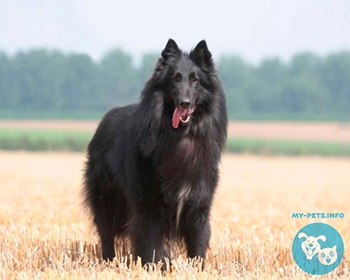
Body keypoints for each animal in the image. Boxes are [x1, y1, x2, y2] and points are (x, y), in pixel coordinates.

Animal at [83, 39, 228, 270]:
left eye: (195, 79)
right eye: (175, 78)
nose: (184, 103)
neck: (180, 137)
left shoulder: (198, 204)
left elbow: (198, 242)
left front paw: (198, 269)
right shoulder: (149, 206)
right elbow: (152, 244)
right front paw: (160, 267)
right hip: (107, 200)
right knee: (106, 234)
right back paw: (109, 261)